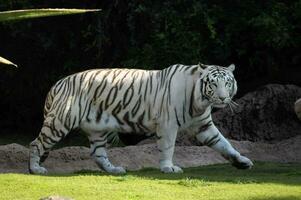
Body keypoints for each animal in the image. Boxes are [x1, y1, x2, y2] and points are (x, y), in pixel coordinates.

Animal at [28, 63, 253, 174]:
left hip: (97, 129)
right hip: (60, 122)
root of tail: (58, 83)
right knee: (36, 143)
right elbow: (168, 147)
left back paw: (115, 170)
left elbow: (224, 144)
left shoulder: (204, 126)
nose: (223, 98)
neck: (199, 103)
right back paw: (35, 169)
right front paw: (169, 168)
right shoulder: (168, 125)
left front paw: (242, 162)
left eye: (227, 83)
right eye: (213, 84)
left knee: (98, 154)